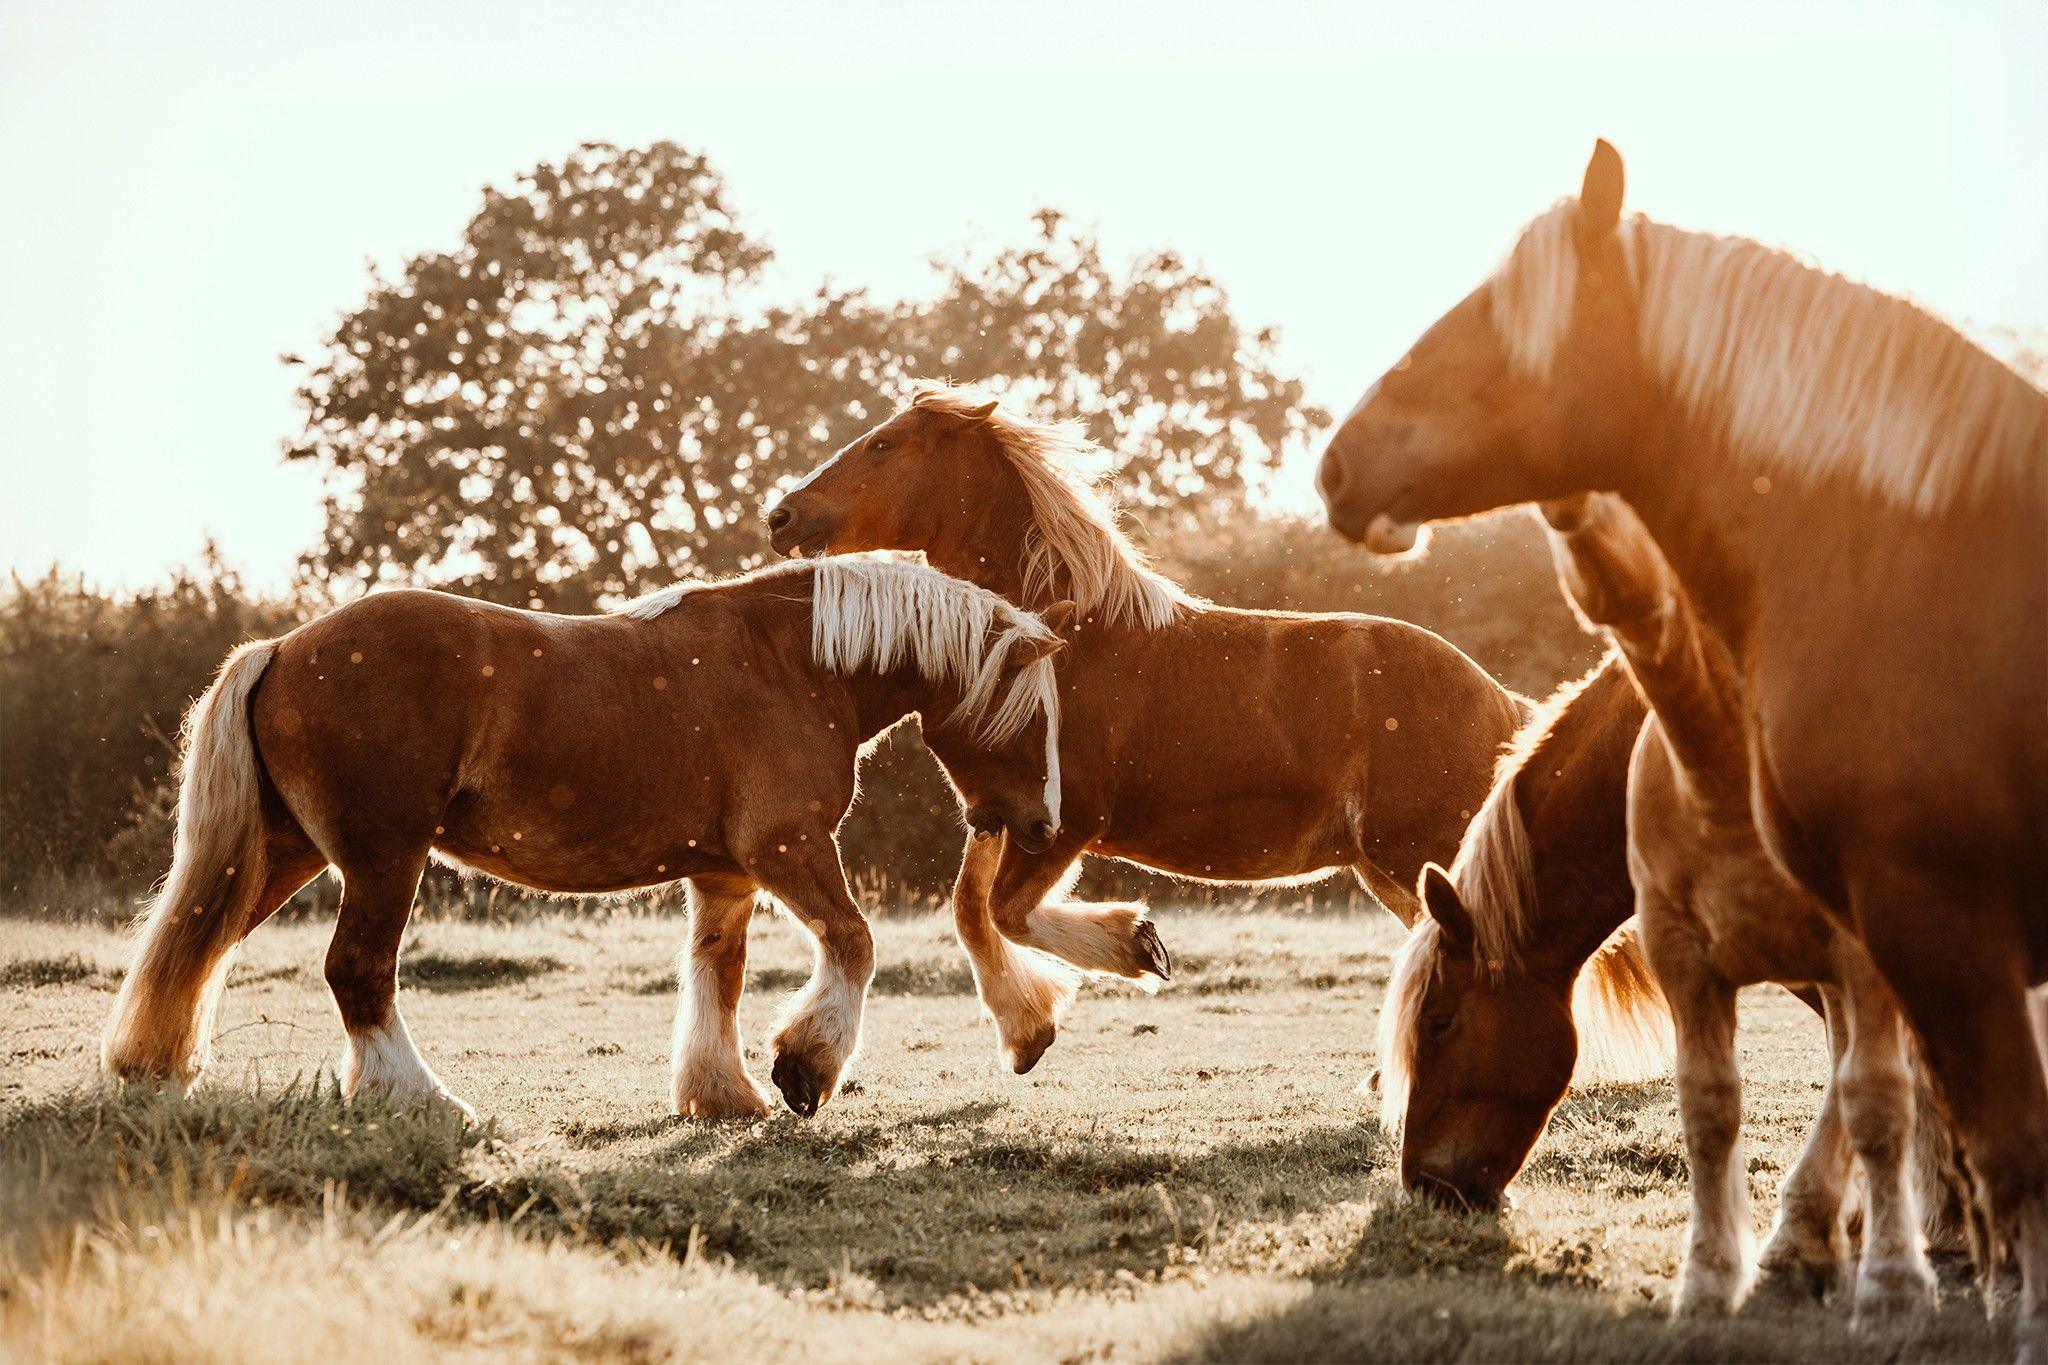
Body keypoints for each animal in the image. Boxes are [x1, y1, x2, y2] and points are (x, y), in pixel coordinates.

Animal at [99, 556, 1073, 1121]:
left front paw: (723, 1094)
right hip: (383, 859)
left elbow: (717, 974)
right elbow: (853, 942)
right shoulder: (788, 848)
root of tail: (284, 647)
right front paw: (803, 1069)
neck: (793, 662)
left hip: (284, 852)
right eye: (1033, 717)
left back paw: (153, 1068)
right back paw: (423, 1100)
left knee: (199, 945)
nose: (1041, 826)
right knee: (357, 971)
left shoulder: (726, 875)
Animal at [761, 384, 1531, 1080]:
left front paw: (1138, 947)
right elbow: (971, 910)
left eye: (884, 445)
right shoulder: (1000, 810)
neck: (1059, 644)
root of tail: (1502, 703)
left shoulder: (1063, 823)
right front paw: (1028, 1032)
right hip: (1388, 865)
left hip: (1421, 850)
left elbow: (1006, 911)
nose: (781, 515)